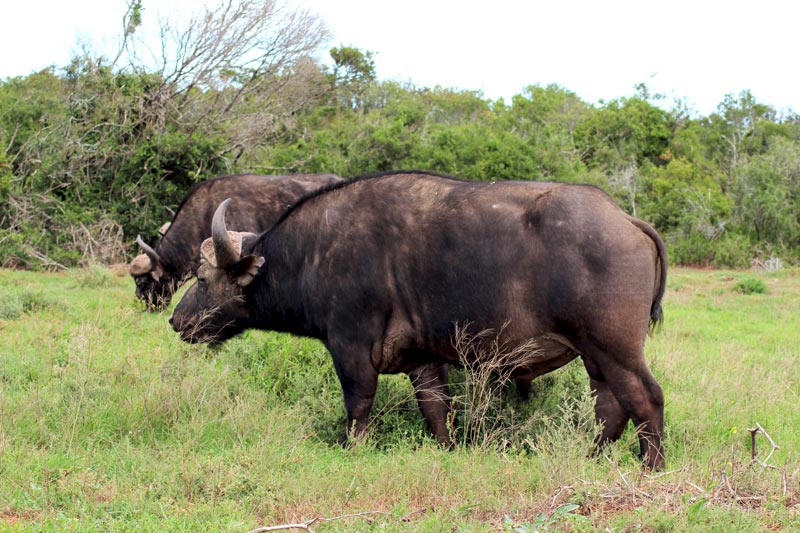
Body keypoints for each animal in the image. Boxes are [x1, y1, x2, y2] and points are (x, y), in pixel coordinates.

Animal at [170, 172, 668, 468]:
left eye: (201, 277)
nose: (176, 320)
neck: (314, 253)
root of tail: (625, 219)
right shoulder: (423, 360)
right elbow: (435, 409)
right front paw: (446, 450)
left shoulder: (350, 348)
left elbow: (358, 405)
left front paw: (353, 449)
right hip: (594, 356)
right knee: (610, 407)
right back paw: (592, 458)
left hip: (616, 349)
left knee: (646, 399)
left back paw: (651, 466)